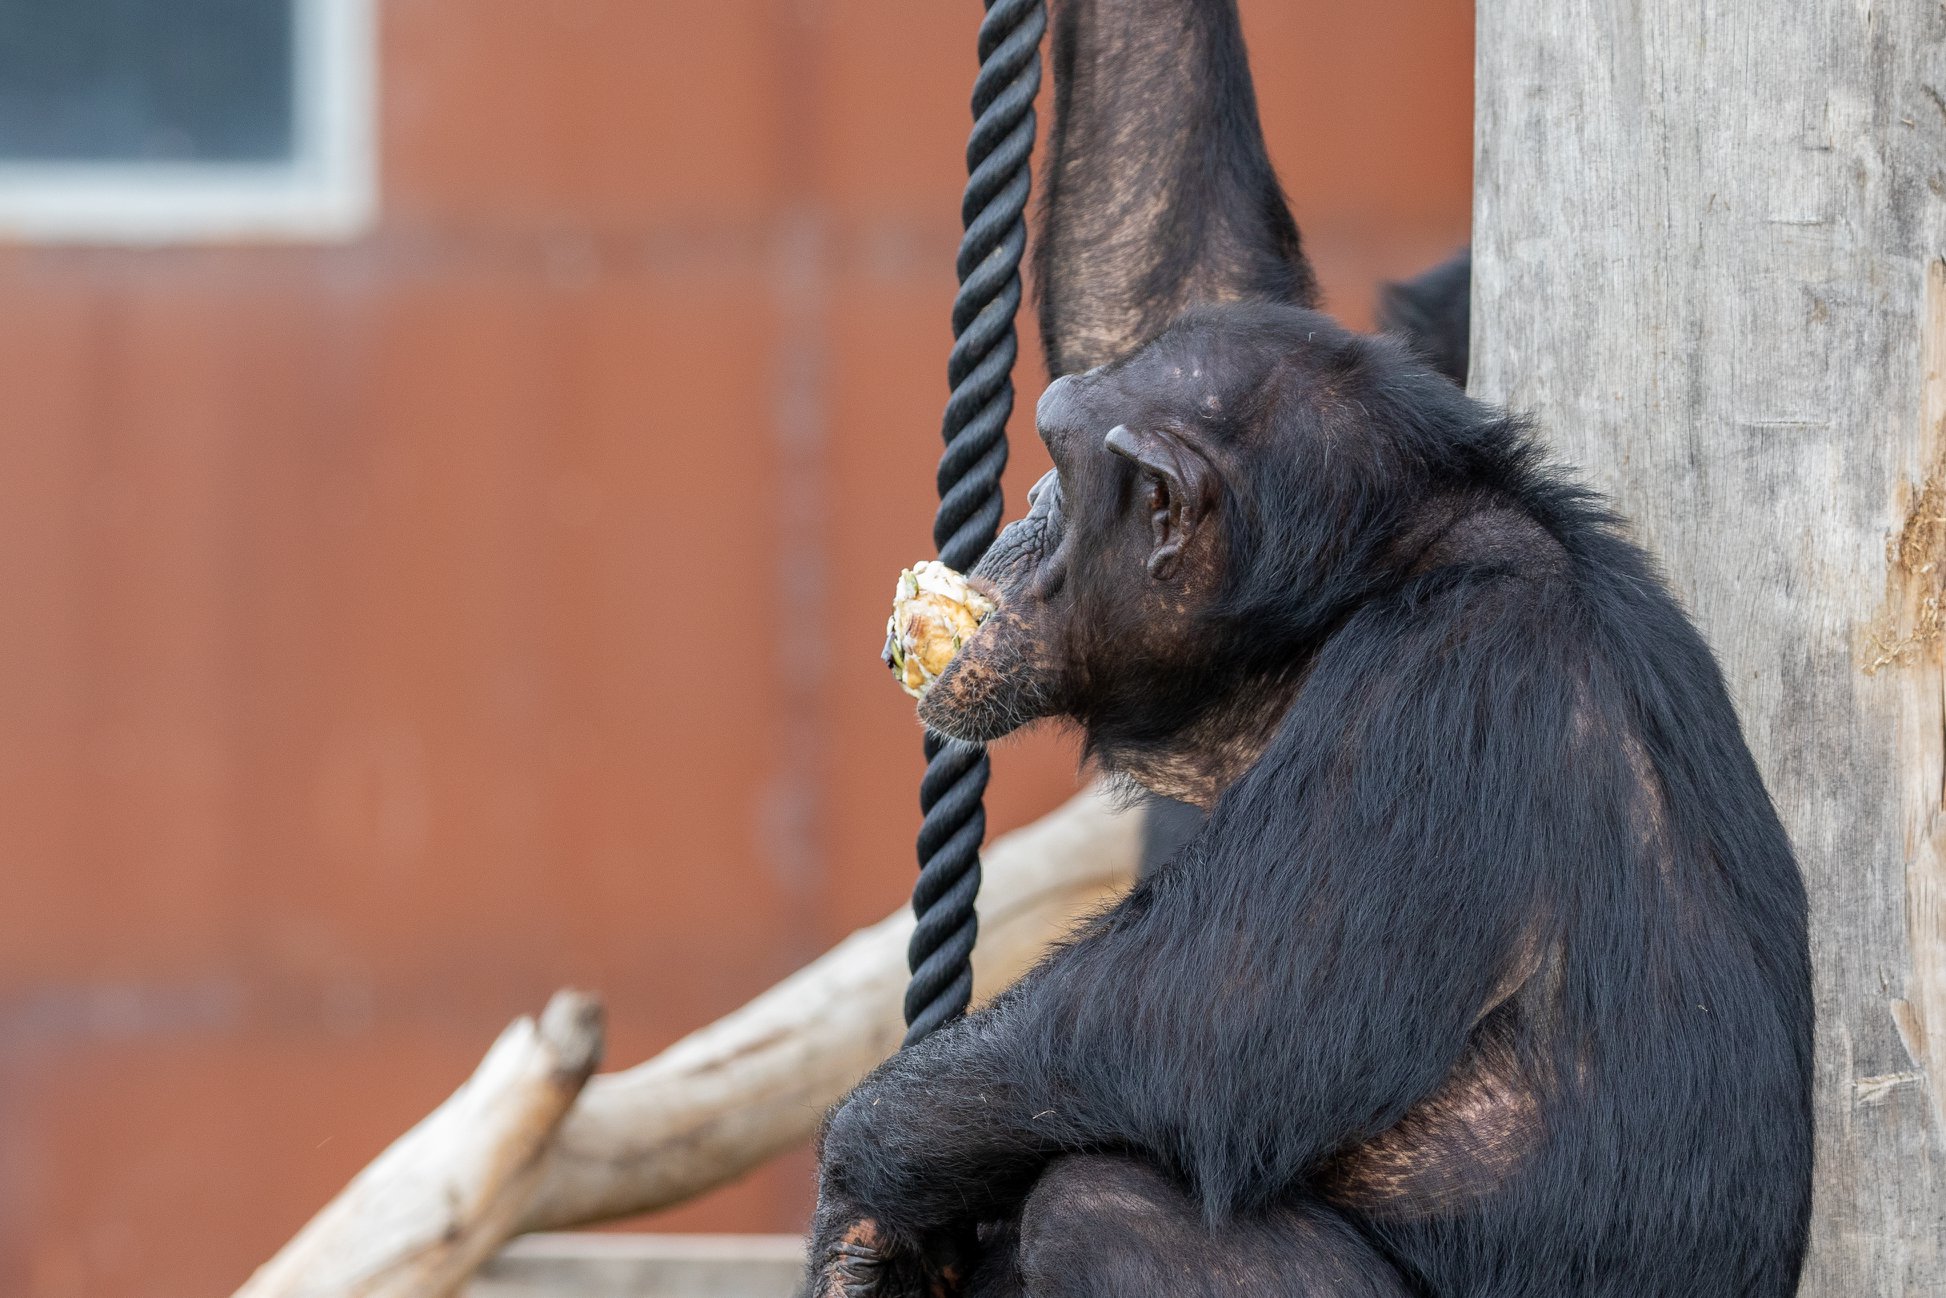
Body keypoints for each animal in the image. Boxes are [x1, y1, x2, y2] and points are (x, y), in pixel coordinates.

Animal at [801, 5, 1805, 1292]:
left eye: (1059, 463)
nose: (1024, 505)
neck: (1374, 576)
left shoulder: (1449, 681)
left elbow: (1221, 1004)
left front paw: (864, 1170)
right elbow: (1166, 269)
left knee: (1098, 1200)